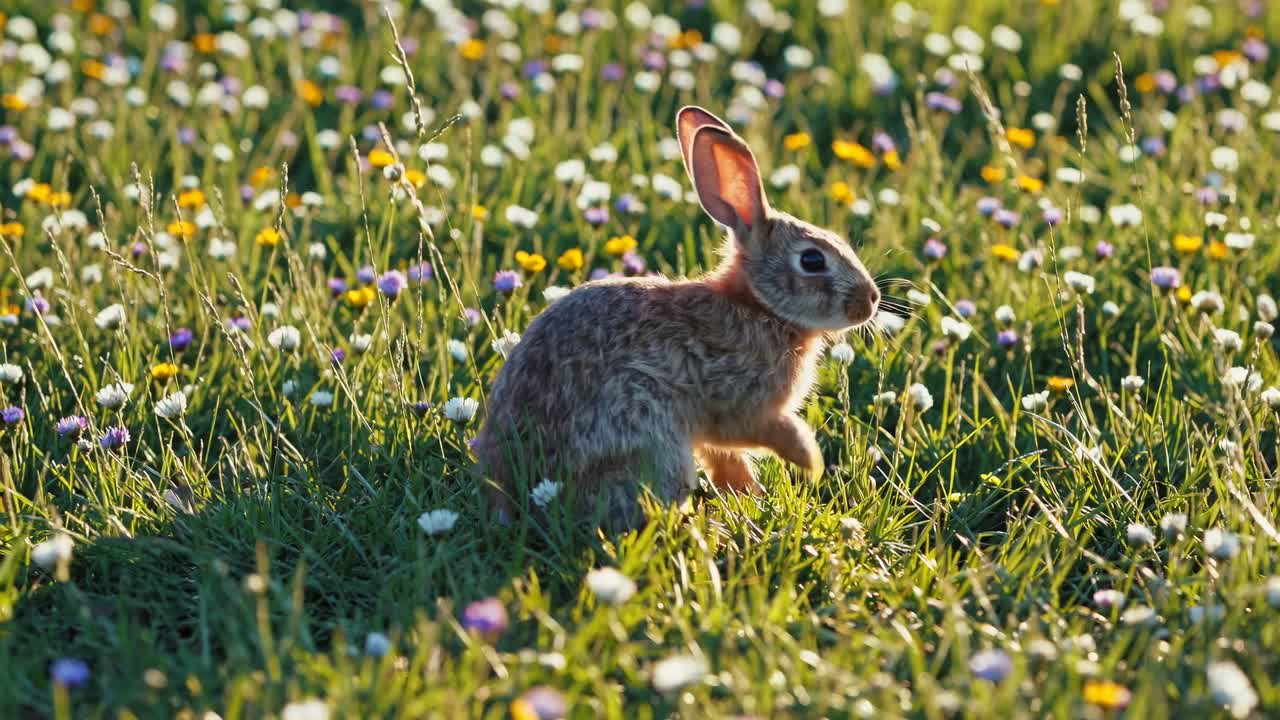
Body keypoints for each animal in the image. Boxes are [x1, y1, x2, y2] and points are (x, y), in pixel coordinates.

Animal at [472, 106, 880, 529]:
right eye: (812, 260)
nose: (870, 301)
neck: (760, 307)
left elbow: (726, 458)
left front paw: (750, 493)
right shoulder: (741, 403)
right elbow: (766, 431)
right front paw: (811, 462)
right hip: (645, 426)